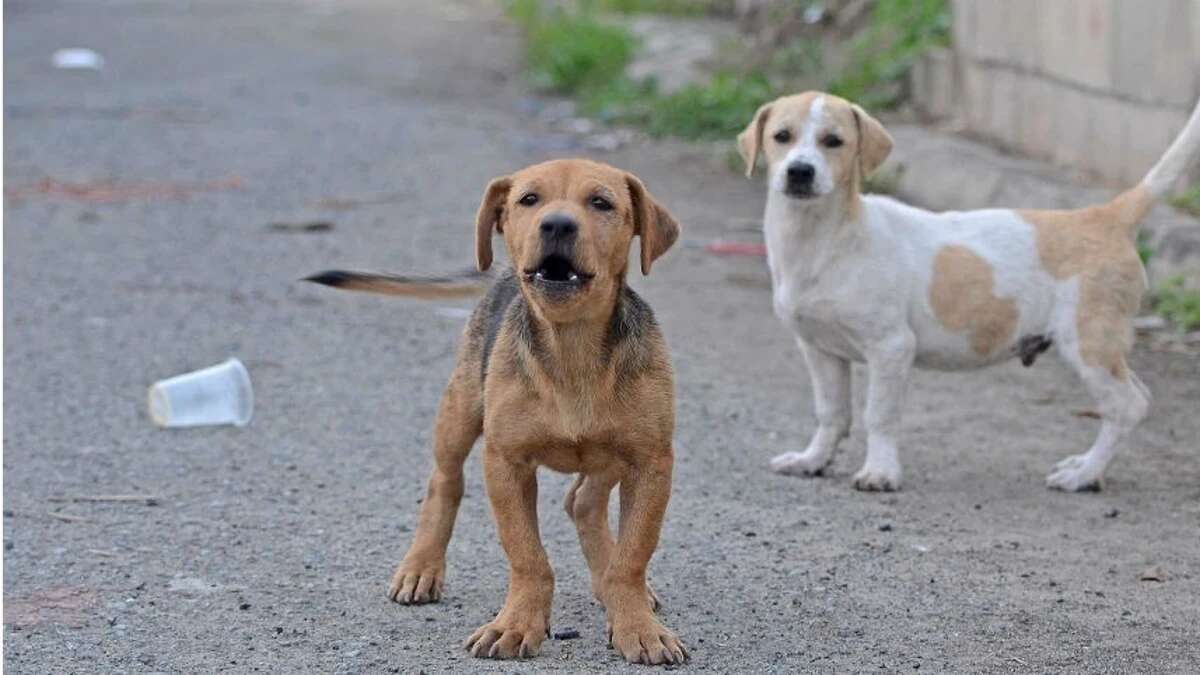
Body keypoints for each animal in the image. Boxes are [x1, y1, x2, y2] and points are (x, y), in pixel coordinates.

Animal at [304, 157, 691, 662]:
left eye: (601, 202)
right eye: (529, 200)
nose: (557, 224)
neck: (573, 347)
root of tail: (501, 272)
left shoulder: (650, 461)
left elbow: (632, 557)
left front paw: (638, 626)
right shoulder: (506, 462)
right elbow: (527, 556)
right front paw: (516, 624)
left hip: (612, 452)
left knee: (582, 501)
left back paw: (605, 583)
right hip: (460, 410)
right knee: (444, 482)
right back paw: (421, 568)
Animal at [739, 90, 1200, 487]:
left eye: (833, 141)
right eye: (781, 136)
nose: (800, 172)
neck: (822, 239)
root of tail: (1105, 216)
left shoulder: (891, 347)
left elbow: (879, 416)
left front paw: (880, 472)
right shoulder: (819, 348)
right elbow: (831, 413)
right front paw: (812, 460)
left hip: (1087, 343)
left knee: (1127, 405)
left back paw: (1084, 475)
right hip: (1101, 347)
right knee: (1134, 398)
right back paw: (1084, 466)